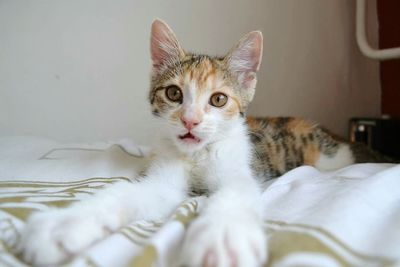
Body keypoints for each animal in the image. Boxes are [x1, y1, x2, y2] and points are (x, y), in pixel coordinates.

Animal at [19, 19, 390, 267]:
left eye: (218, 99)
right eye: (173, 93)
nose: (190, 120)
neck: (196, 156)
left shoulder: (241, 172)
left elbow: (233, 195)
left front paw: (223, 238)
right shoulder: (163, 180)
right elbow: (131, 193)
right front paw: (64, 225)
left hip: (331, 157)